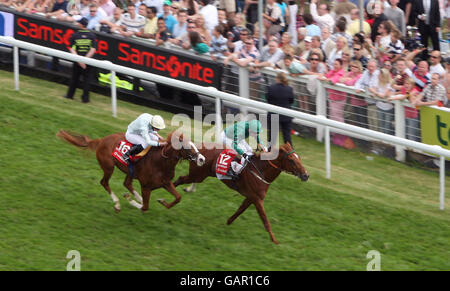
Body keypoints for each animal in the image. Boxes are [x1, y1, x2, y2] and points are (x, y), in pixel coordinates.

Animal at [56, 131, 206, 213]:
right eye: (187, 146)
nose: (202, 159)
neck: (160, 163)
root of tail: (101, 140)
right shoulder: (146, 187)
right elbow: (145, 207)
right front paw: (130, 201)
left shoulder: (166, 183)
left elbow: (178, 197)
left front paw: (162, 201)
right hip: (108, 167)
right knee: (105, 182)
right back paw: (118, 204)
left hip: (129, 171)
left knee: (127, 183)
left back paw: (135, 197)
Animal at [173, 143, 310, 244]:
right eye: (291, 160)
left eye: (299, 158)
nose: (306, 175)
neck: (261, 171)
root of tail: (197, 152)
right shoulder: (257, 200)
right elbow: (265, 220)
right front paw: (275, 241)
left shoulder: (251, 198)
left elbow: (240, 210)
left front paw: (228, 222)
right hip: (196, 174)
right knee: (180, 179)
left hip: (201, 175)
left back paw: (187, 189)